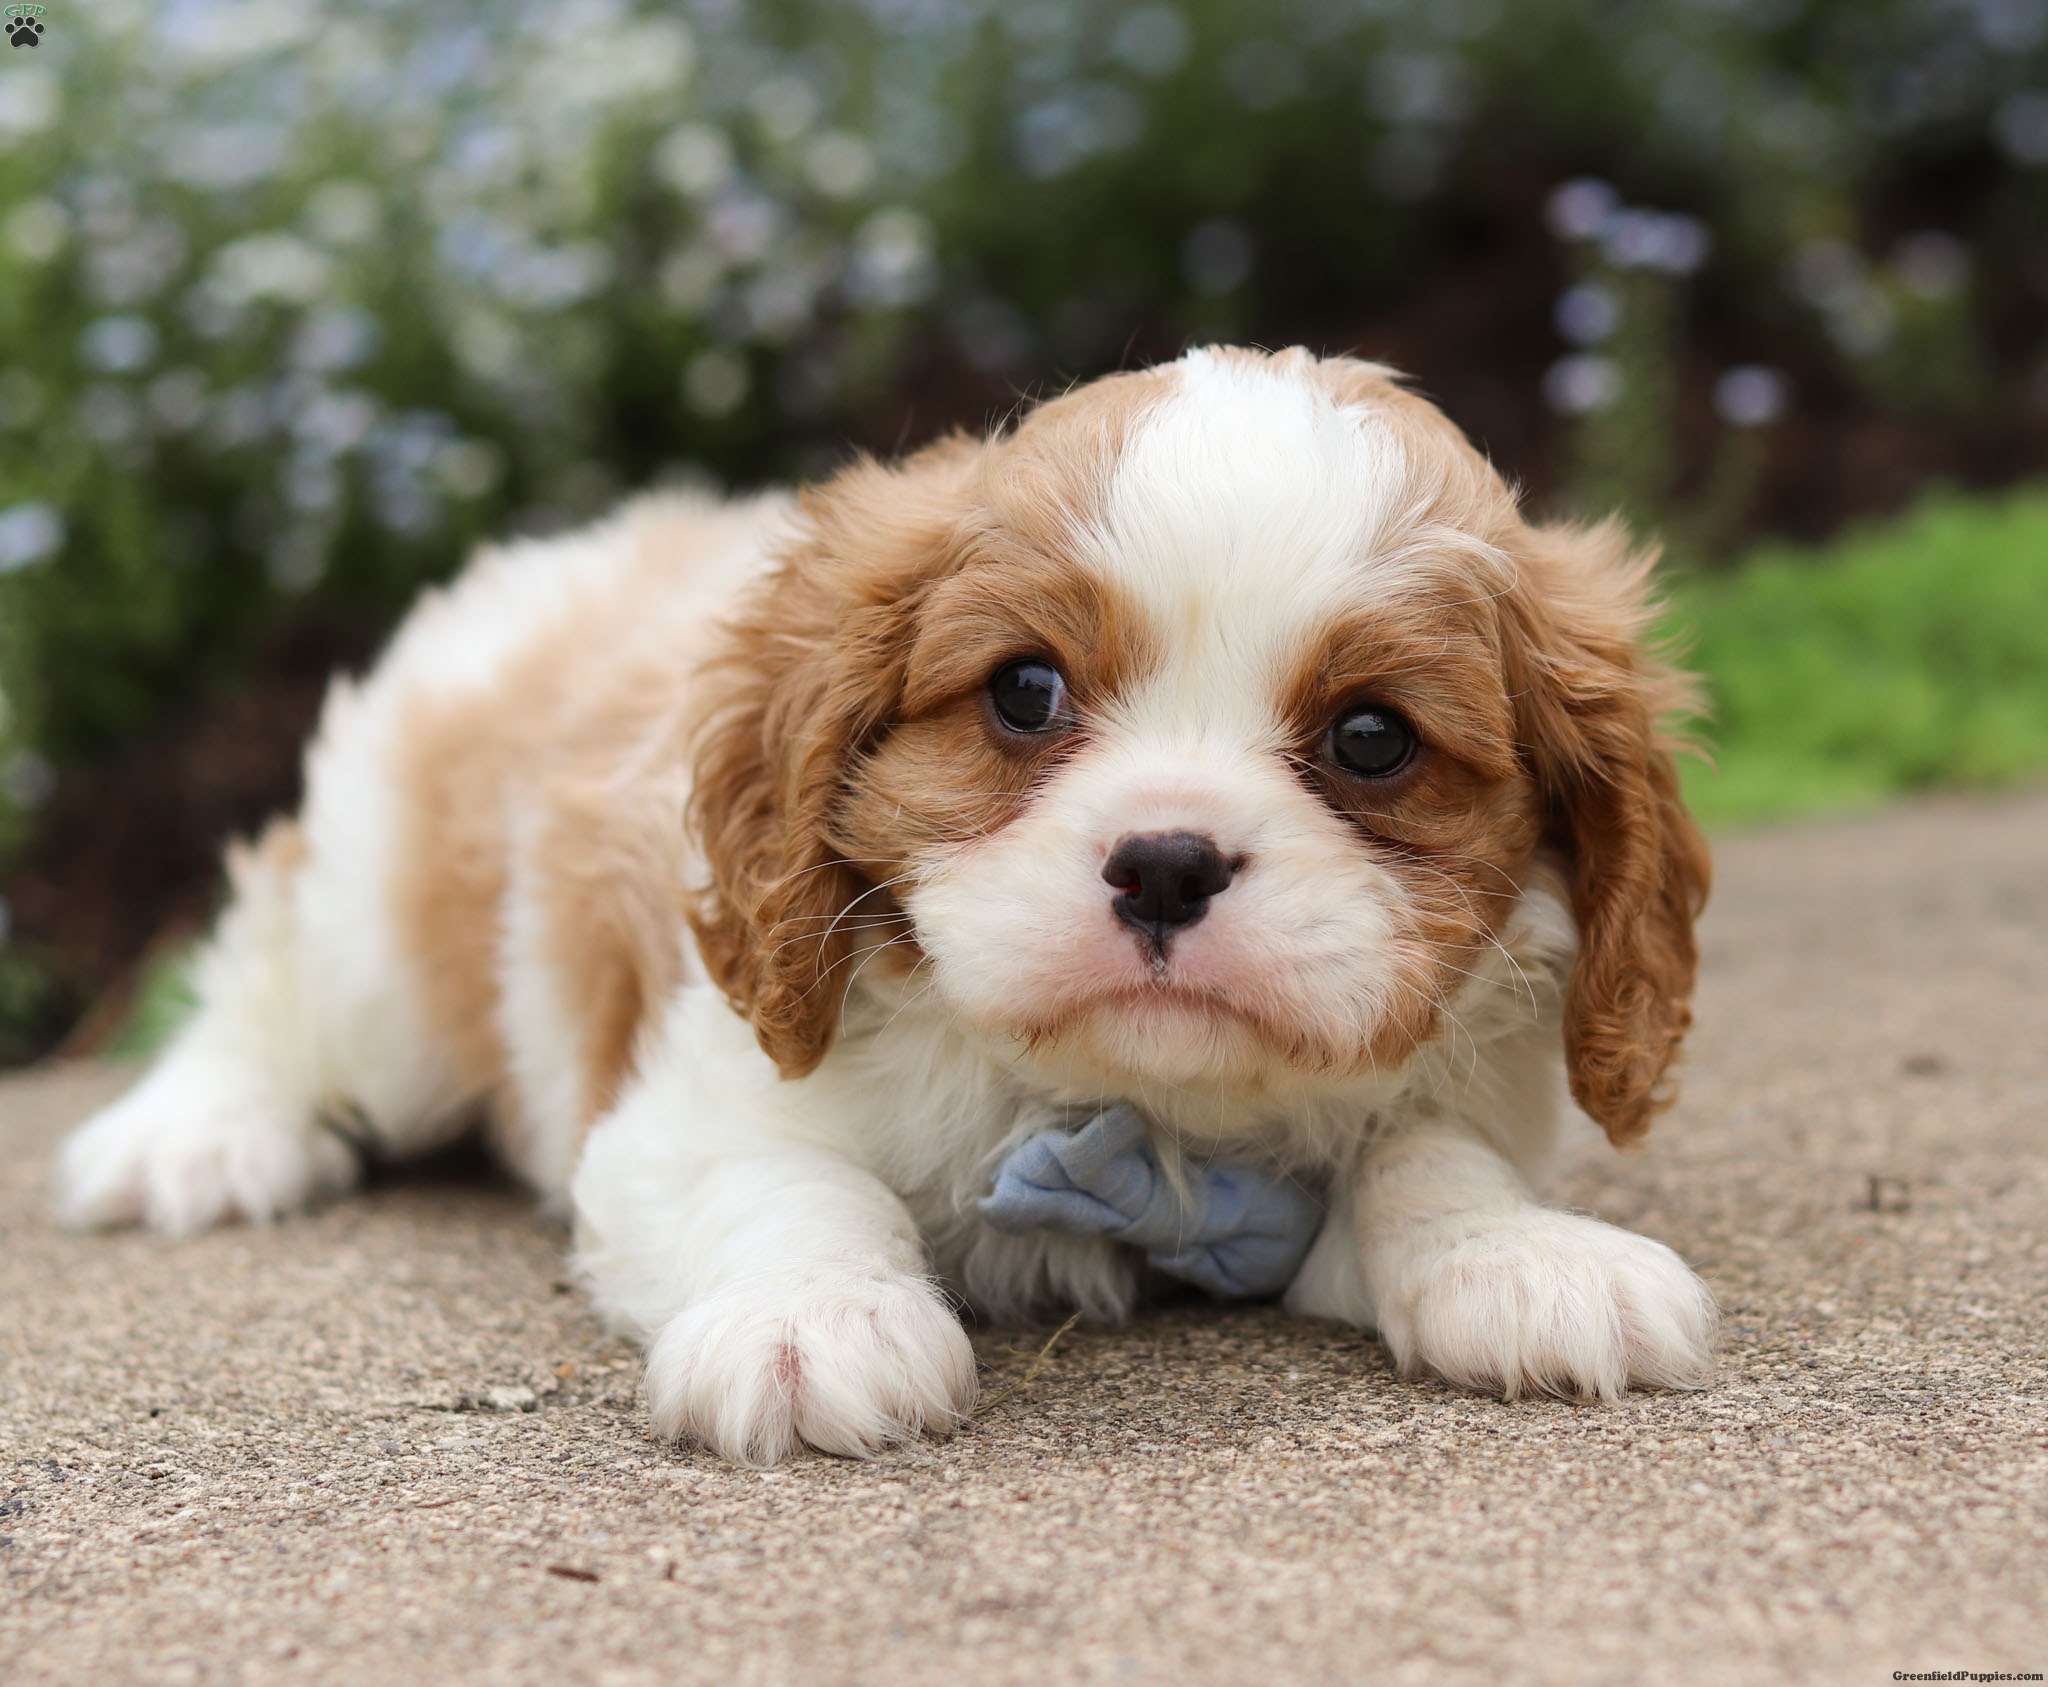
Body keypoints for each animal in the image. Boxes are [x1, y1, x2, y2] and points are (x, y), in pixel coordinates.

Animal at [56, 350, 1712, 1457]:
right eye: (1025, 692)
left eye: (1373, 737)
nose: (1167, 860)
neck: (1129, 1115)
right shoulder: (691, 1101)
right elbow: (788, 1182)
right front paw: (812, 1321)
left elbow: (1425, 1156)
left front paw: (1524, 1257)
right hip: (393, 937)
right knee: (275, 970)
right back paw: (193, 1135)